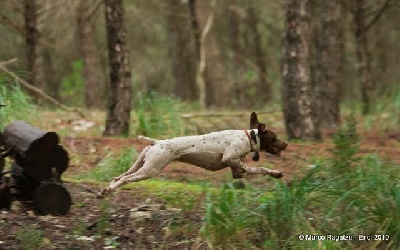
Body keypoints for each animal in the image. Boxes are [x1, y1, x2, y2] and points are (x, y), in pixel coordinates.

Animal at [98, 112, 286, 198]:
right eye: (275, 137)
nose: (286, 144)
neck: (249, 137)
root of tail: (156, 142)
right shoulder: (230, 158)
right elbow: (258, 168)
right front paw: (275, 173)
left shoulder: (237, 171)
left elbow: (251, 170)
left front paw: (275, 173)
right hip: (149, 170)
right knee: (124, 179)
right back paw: (108, 191)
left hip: (140, 165)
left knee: (118, 177)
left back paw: (105, 191)